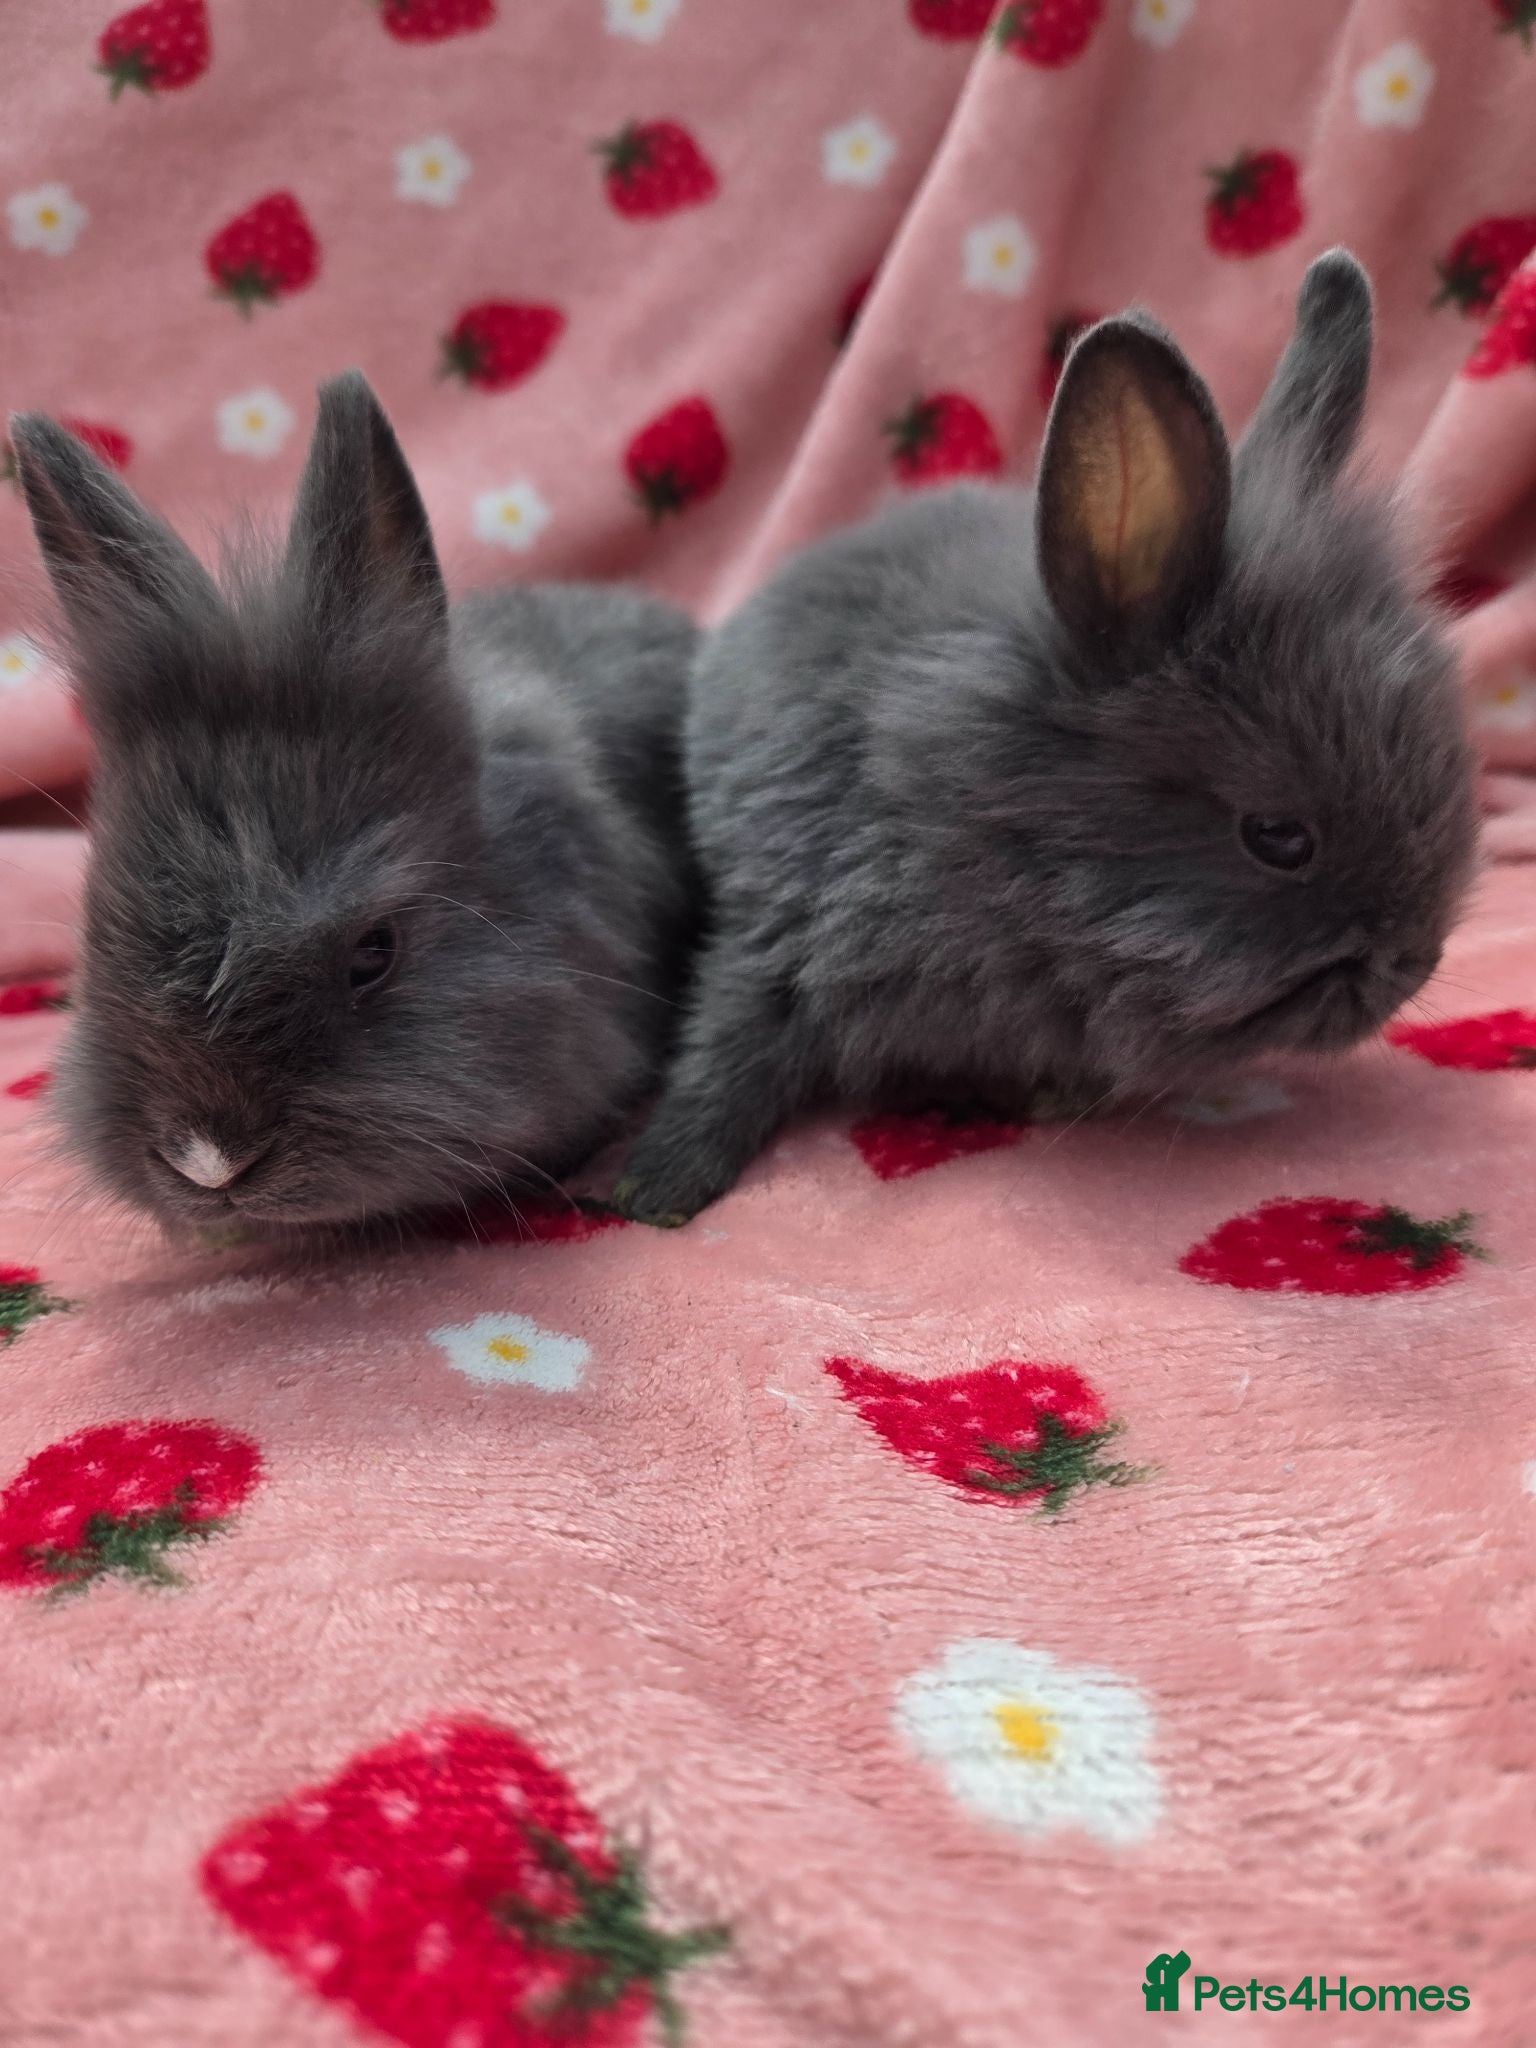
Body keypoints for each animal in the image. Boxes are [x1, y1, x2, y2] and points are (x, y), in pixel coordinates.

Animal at [613, 249, 1479, 1225]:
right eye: (1278, 837)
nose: (1415, 961)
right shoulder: (773, 935)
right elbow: (726, 1049)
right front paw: (658, 1190)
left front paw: (1052, 1096)